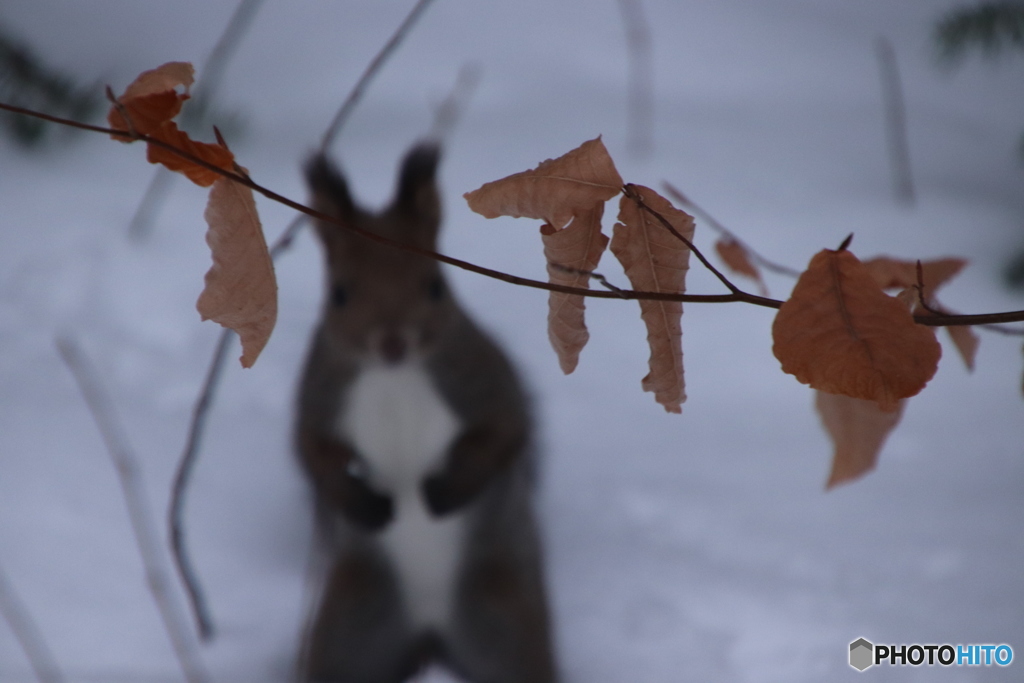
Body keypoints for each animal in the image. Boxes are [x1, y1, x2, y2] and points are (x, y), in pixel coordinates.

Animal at [292, 144, 557, 683]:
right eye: (339, 293)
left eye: (435, 286)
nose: (393, 341)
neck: (394, 377)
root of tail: (430, 631)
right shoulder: (320, 396)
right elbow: (312, 451)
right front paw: (365, 506)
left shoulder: (481, 381)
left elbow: (505, 431)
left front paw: (442, 494)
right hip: (350, 627)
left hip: (506, 621)